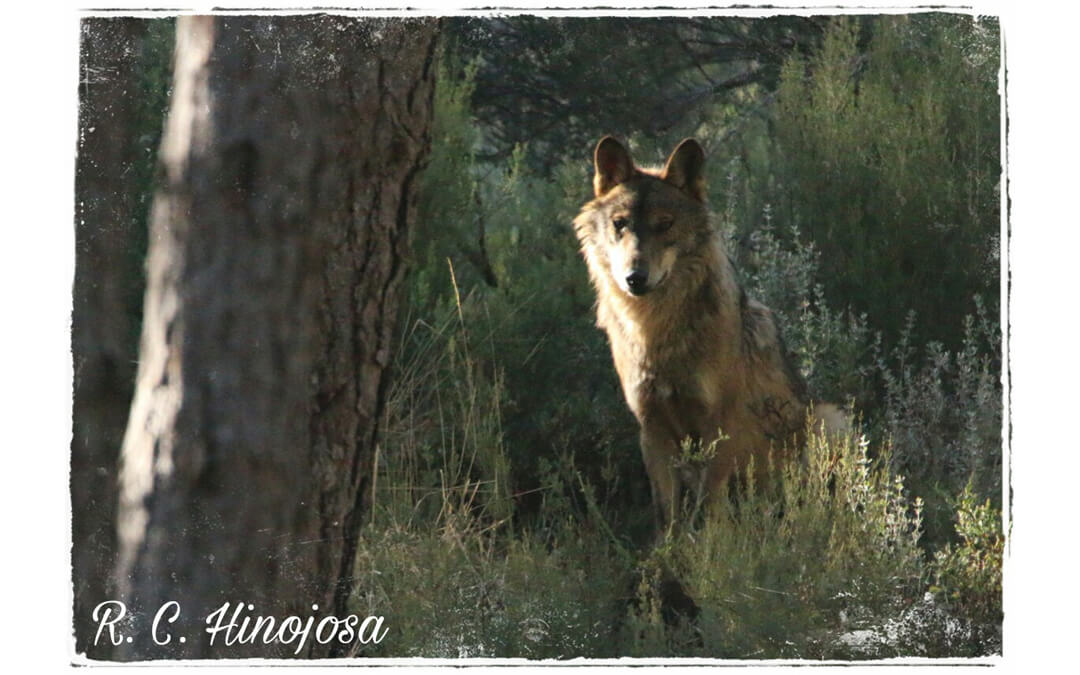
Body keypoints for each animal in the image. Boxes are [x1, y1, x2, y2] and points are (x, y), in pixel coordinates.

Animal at [573, 136, 847, 530]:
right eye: (620, 224)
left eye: (665, 224)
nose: (634, 278)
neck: (656, 335)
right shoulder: (651, 427)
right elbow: (666, 513)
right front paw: (671, 547)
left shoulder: (719, 427)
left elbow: (708, 506)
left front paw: (710, 544)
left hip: (831, 419)